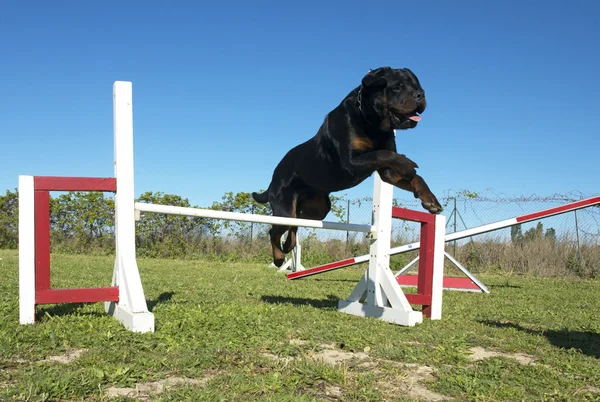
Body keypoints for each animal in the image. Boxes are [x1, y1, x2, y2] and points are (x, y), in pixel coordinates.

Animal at [251, 66, 442, 266]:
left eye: (418, 87)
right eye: (397, 87)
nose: (421, 95)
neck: (372, 123)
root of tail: (273, 179)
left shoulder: (387, 172)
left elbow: (408, 172)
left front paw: (430, 200)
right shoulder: (351, 162)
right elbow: (384, 154)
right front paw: (407, 163)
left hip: (318, 209)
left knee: (297, 223)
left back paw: (288, 246)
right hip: (285, 207)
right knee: (275, 230)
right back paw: (279, 258)